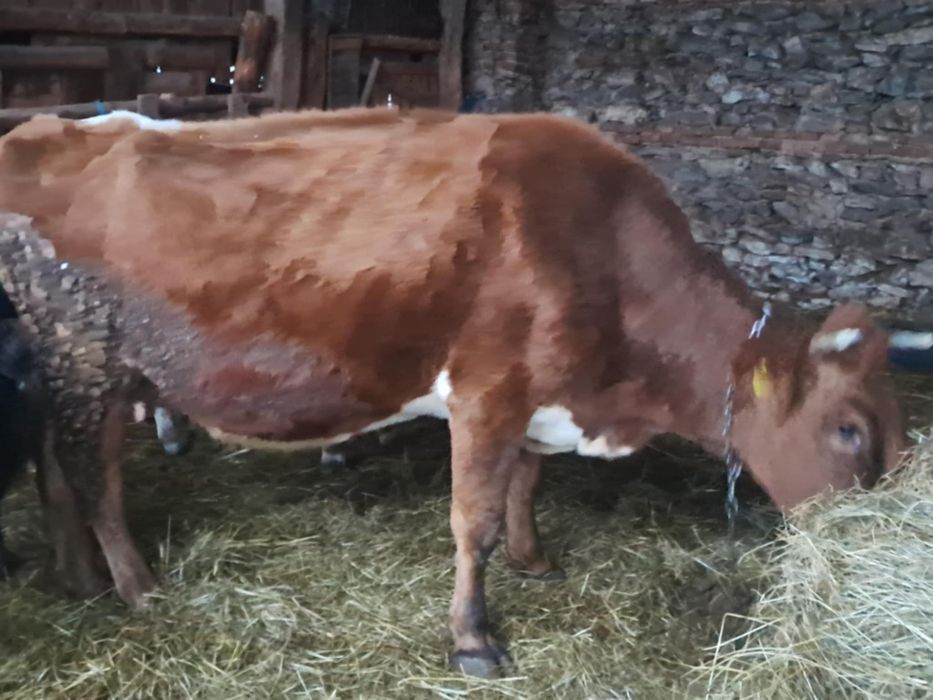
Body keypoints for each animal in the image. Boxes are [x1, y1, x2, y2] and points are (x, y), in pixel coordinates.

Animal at [0, 106, 925, 677]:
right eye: (848, 430)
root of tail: (39, 127)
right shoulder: (488, 387)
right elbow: (470, 518)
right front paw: (474, 639)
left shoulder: (536, 397)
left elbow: (525, 480)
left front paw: (533, 556)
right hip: (89, 359)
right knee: (93, 479)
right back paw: (135, 588)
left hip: (59, 367)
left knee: (50, 467)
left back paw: (78, 579)